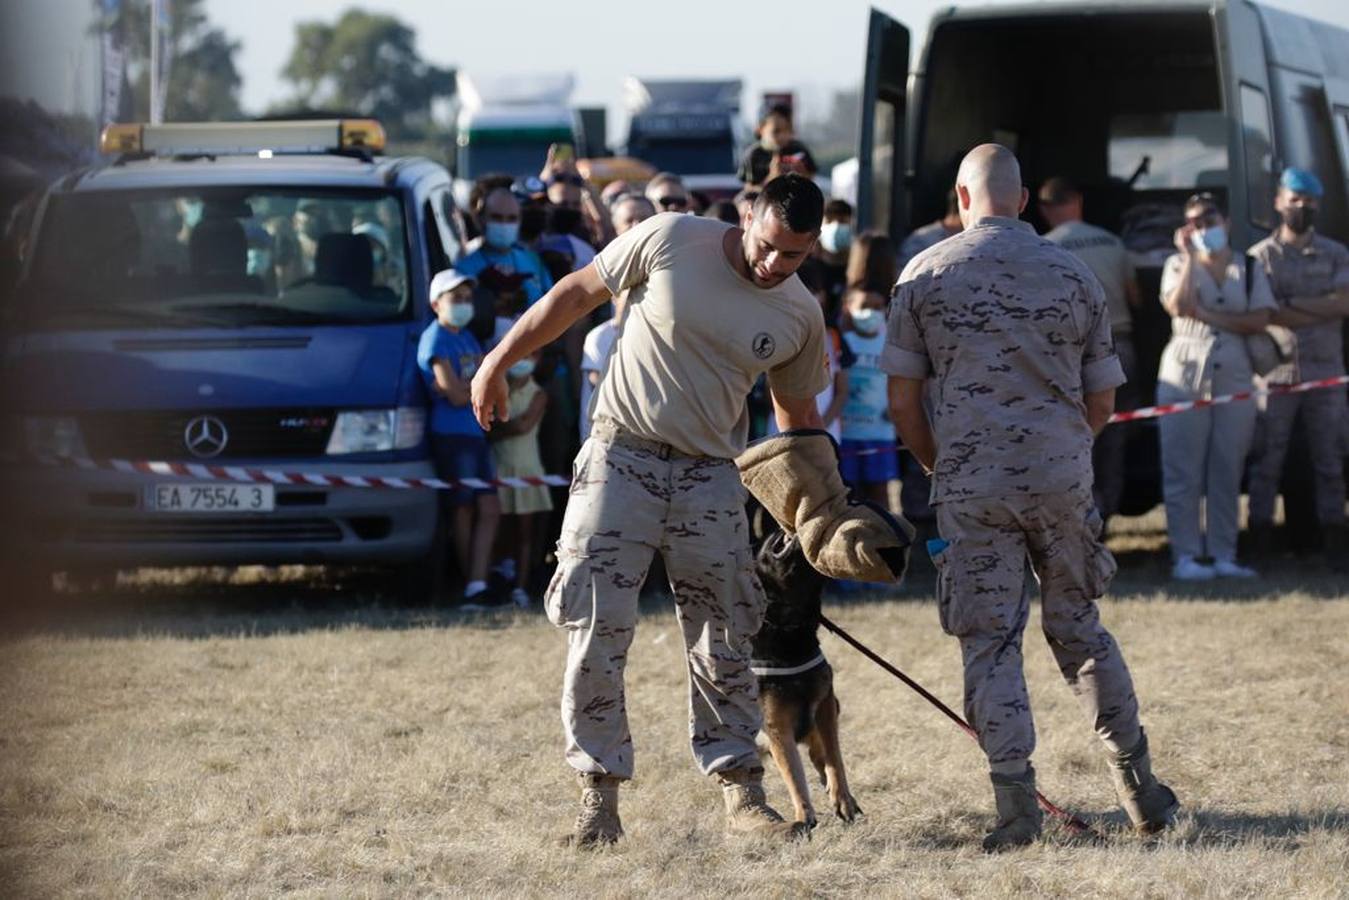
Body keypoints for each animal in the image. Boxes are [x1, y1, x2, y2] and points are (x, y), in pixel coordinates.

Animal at [750, 507, 863, 831]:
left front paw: (842, 798)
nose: (785, 524)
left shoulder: (825, 707)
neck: (790, 625)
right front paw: (803, 816)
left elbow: (835, 758)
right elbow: (793, 774)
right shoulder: (777, 727)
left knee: (818, 753)